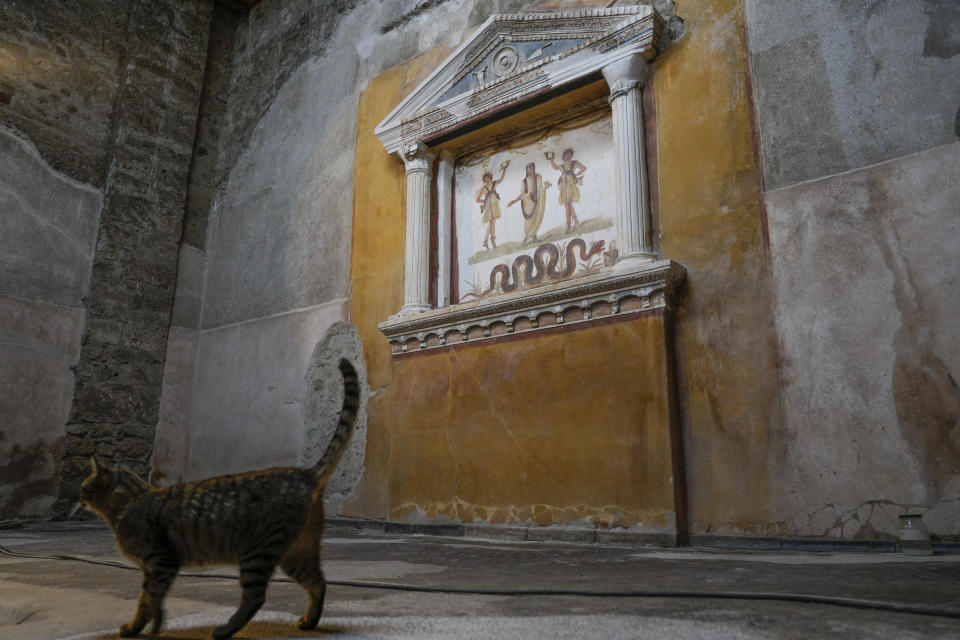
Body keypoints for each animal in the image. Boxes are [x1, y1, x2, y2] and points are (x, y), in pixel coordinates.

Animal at [78, 358, 360, 636]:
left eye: (84, 486)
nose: (78, 495)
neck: (130, 501)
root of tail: (306, 474)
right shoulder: (157, 568)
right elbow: (153, 604)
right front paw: (152, 626)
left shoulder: (161, 563)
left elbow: (147, 600)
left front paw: (138, 628)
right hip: (296, 552)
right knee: (318, 583)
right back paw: (309, 622)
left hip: (257, 552)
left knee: (256, 597)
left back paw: (225, 630)